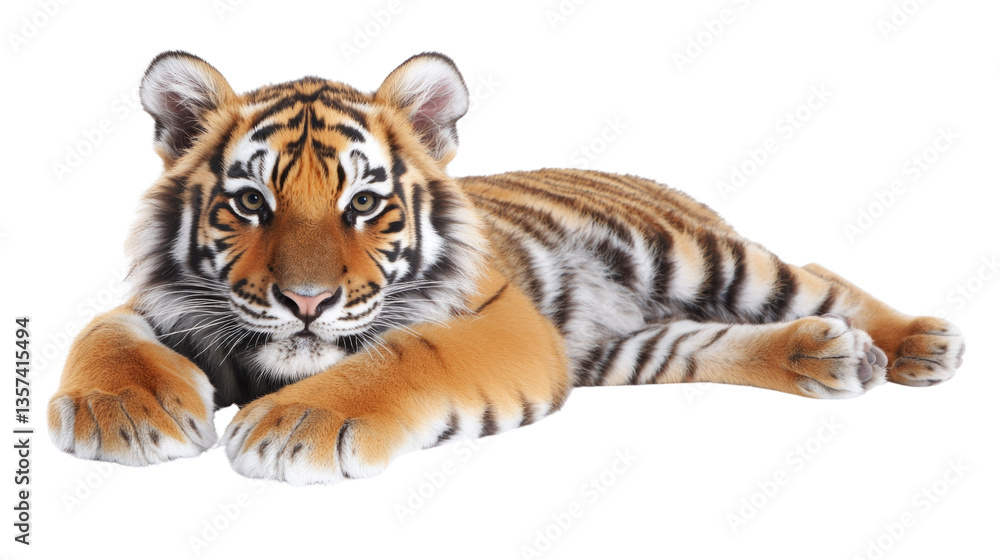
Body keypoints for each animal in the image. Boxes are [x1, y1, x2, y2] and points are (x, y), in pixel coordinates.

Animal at [47, 51, 965, 485]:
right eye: (249, 204)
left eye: (364, 204)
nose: (306, 301)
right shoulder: (165, 303)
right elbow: (104, 329)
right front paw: (120, 413)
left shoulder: (504, 324)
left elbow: (405, 352)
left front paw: (296, 425)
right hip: (626, 349)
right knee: (704, 342)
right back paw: (829, 355)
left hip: (706, 258)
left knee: (814, 274)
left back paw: (919, 344)